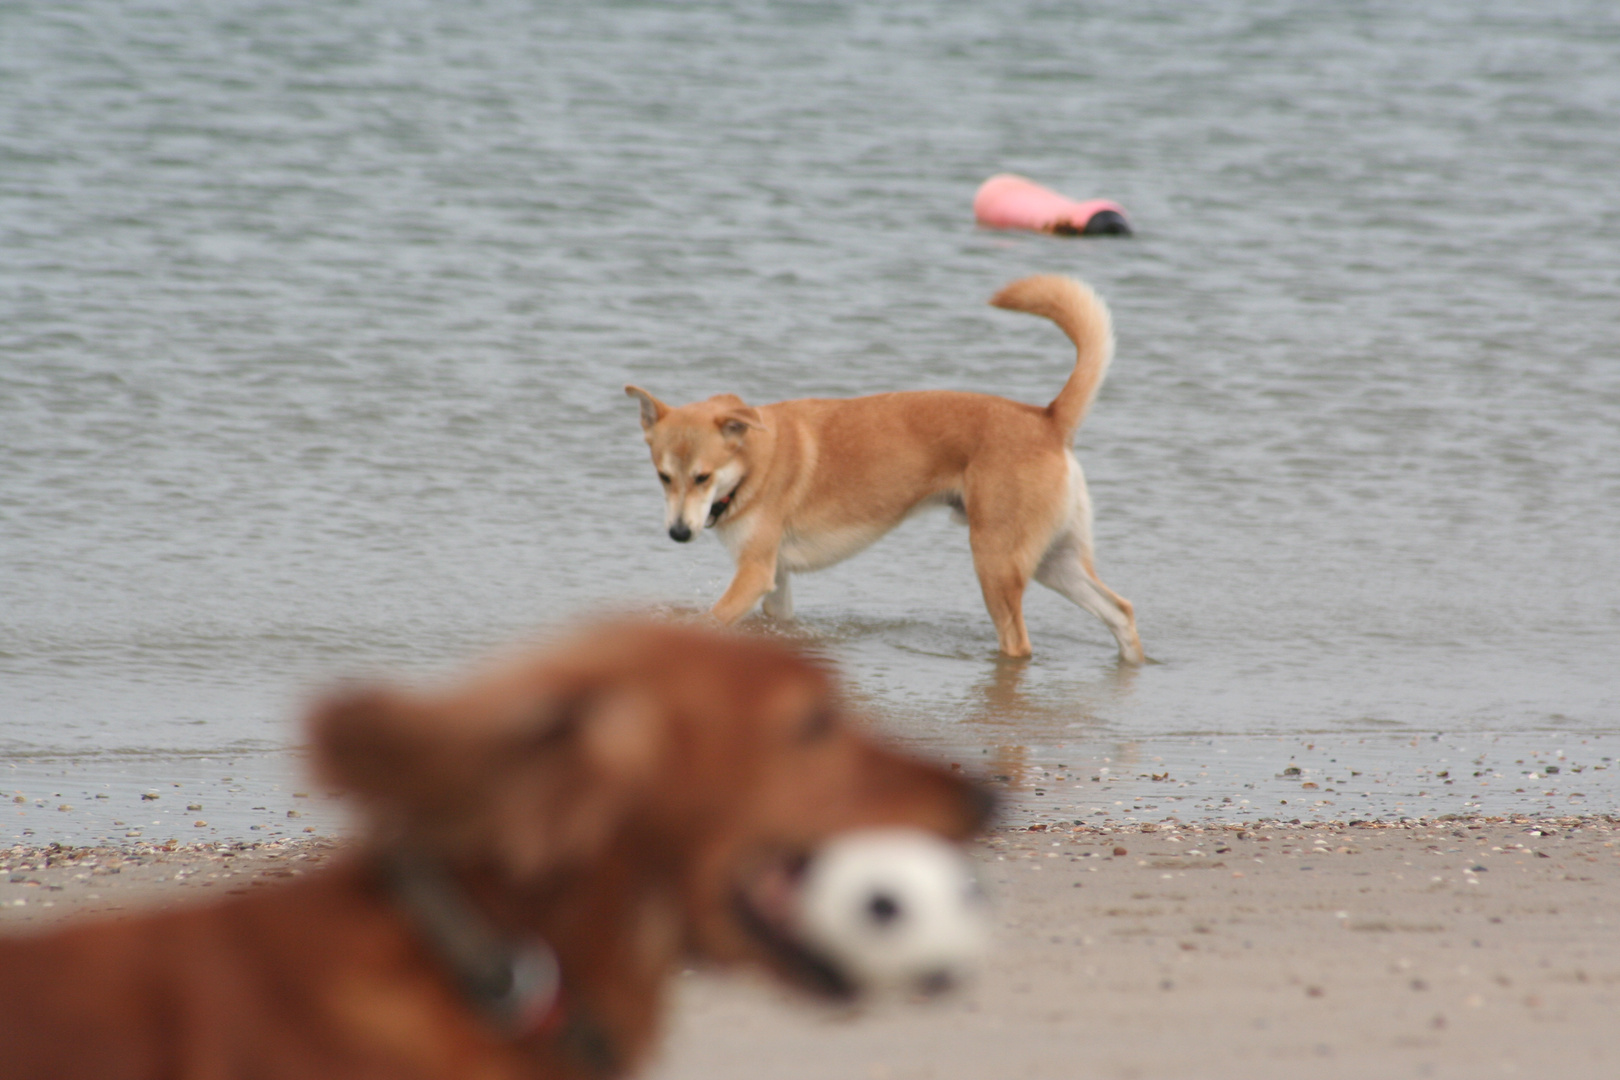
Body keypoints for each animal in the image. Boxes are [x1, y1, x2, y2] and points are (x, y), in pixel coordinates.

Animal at [625, 275, 1146, 663]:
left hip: (996, 562)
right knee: (1120, 610)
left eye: (703, 477)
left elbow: (709, 621)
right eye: (663, 477)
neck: (754, 462)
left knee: (1019, 642)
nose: (678, 534)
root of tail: (1047, 419)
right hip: (1052, 560)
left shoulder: (753, 574)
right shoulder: (776, 580)